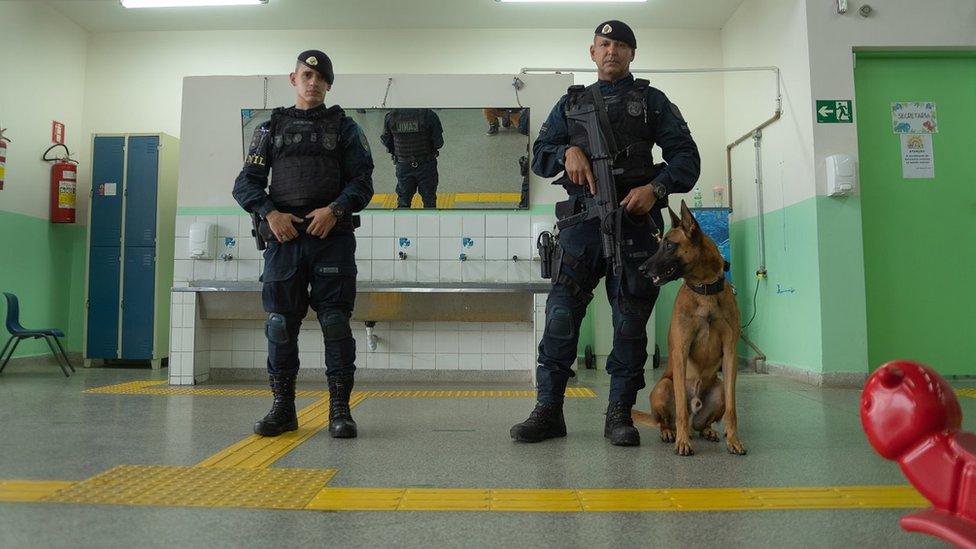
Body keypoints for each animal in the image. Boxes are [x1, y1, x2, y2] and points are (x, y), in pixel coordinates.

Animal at [632, 199, 748, 456]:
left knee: (702, 422)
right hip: (662, 387)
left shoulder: (730, 354)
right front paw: (682, 442)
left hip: (718, 390)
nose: (641, 269)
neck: (704, 290)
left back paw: (708, 431)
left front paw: (734, 440)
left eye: (668, 245)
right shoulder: (680, 351)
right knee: (670, 418)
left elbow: (733, 408)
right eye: (660, 244)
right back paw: (671, 432)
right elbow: (680, 412)